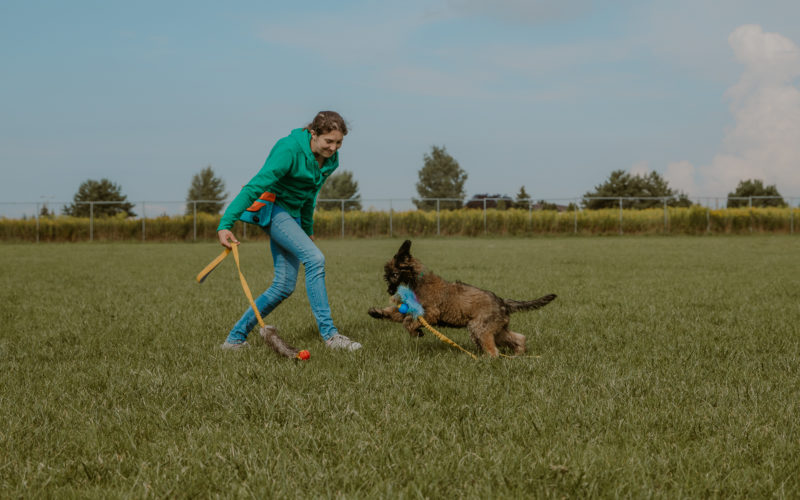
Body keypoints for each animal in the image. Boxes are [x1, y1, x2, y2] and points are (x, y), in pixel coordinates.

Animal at [368, 240, 556, 358]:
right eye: (387, 277)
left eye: (394, 274)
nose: (390, 291)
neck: (416, 281)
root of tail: (502, 302)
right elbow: (396, 314)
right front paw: (377, 312)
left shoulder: (431, 313)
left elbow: (408, 321)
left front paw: (416, 331)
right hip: (497, 329)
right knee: (518, 338)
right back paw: (518, 353)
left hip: (479, 328)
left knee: (493, 349)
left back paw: (488, 359)